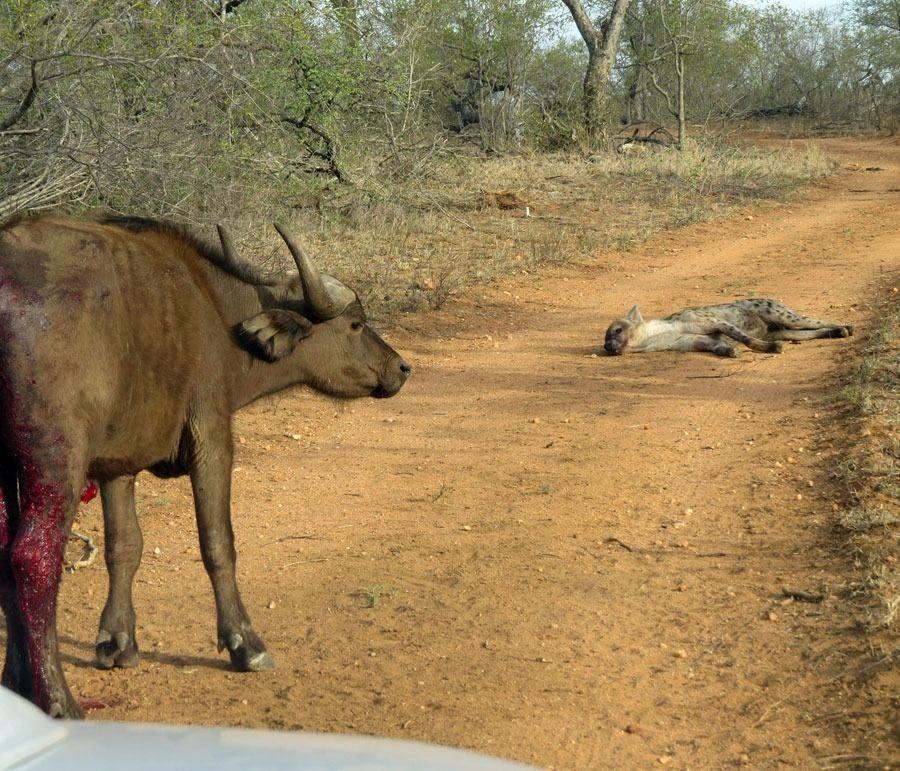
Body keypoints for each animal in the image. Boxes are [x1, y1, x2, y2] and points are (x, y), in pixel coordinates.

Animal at [0, 211, 412, 716]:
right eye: (355, 324)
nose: (401, 368)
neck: (216, 313)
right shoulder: (212, 436)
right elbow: (218, 542)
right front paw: (245, 643)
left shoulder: (118, 465)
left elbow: (125, 547)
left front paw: (117, 641)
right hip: (54, 457)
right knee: (31, 558)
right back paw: (58, 699)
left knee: (4, 555)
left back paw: (18, 682)